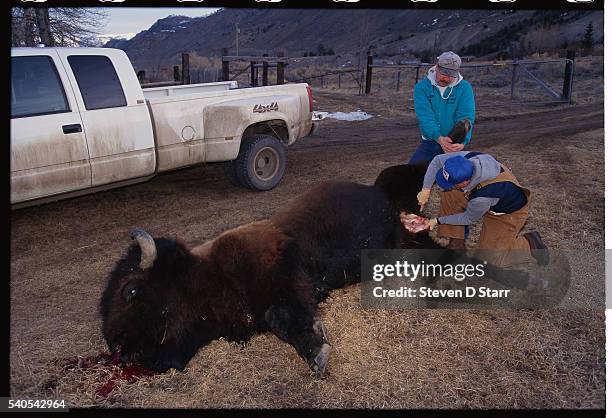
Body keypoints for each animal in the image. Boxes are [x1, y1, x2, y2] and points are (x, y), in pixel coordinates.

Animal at [99, 163, 450, 376]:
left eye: (131, 289)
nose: (116, 345)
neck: (209, 275)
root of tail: (377, 191)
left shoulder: (290, 281)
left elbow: (279, 316)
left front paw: (318, 352)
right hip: (404, 240)